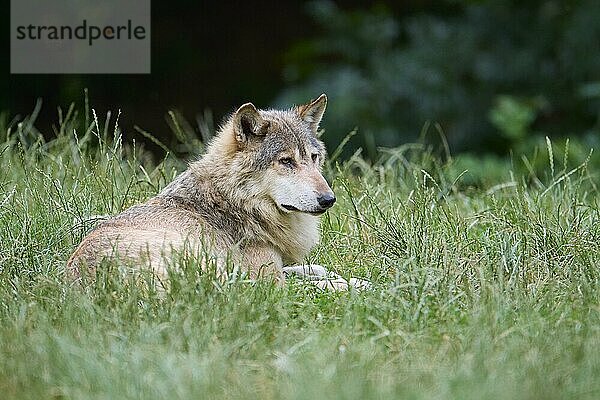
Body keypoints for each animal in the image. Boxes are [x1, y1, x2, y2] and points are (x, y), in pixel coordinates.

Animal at [68, 95, 368, 292]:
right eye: (286, 161)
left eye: (314, 158)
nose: (329, 200)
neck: (237, 202)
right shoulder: (268, 281)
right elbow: (312, 284)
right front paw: (356, 285)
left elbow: (304, 269)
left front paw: (340, 275)